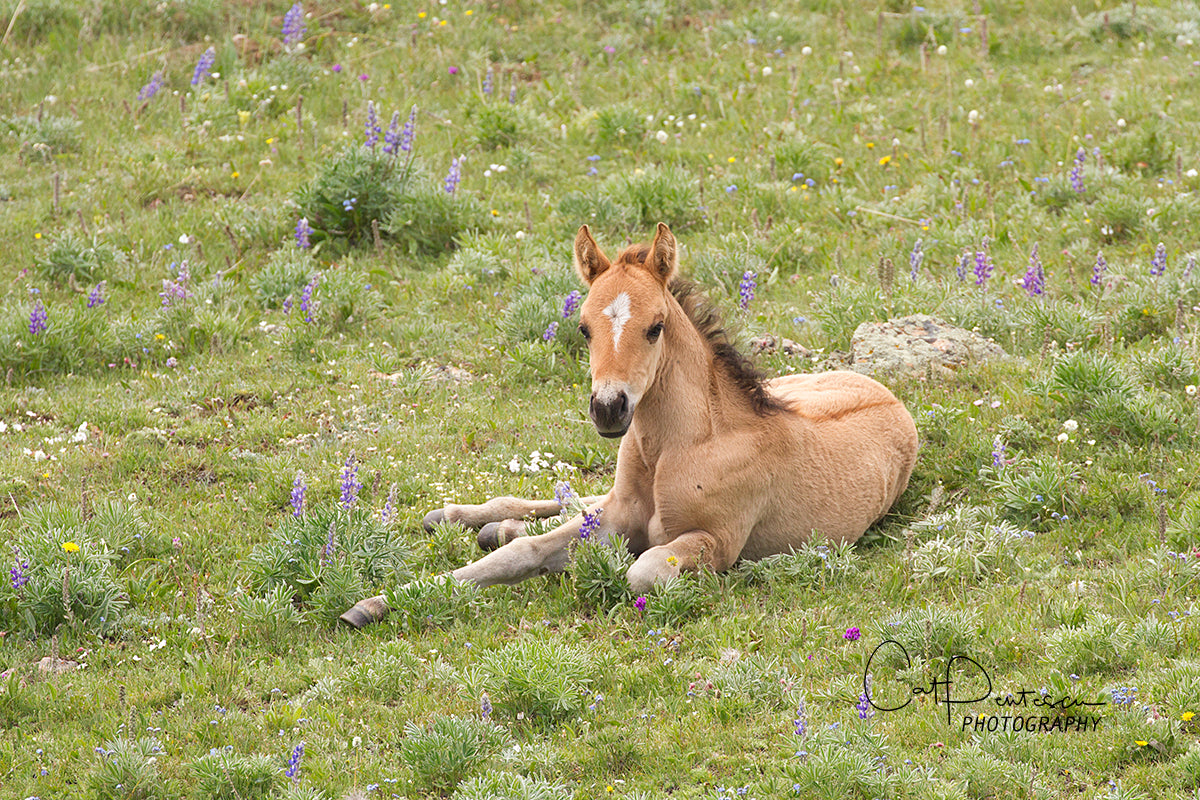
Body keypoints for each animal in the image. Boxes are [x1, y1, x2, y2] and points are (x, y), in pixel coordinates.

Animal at [338, 221, 916, 628]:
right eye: (583, 328)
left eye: (655, 327)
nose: (608, 408)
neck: (682, 445)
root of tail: (888, 394)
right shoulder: (619, 512)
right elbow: (524, 554)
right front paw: (372, 603)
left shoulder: (717, 541)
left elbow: (640, 568)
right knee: (575, 501)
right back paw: (472, 518)